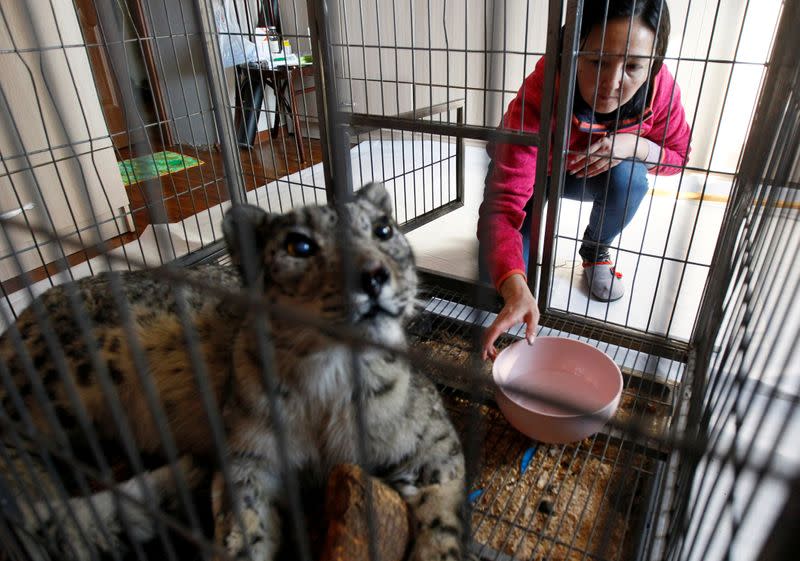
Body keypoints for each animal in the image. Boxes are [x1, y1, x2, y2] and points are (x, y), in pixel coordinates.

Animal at [0, 182, 466, 556]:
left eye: (384, 230)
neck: (328, 385)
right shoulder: (249, 459)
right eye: (299, 246)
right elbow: (244, 524)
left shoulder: (432, 446)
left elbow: (442, 516)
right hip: (58, 391)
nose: (371, 275)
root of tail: (17, 324)